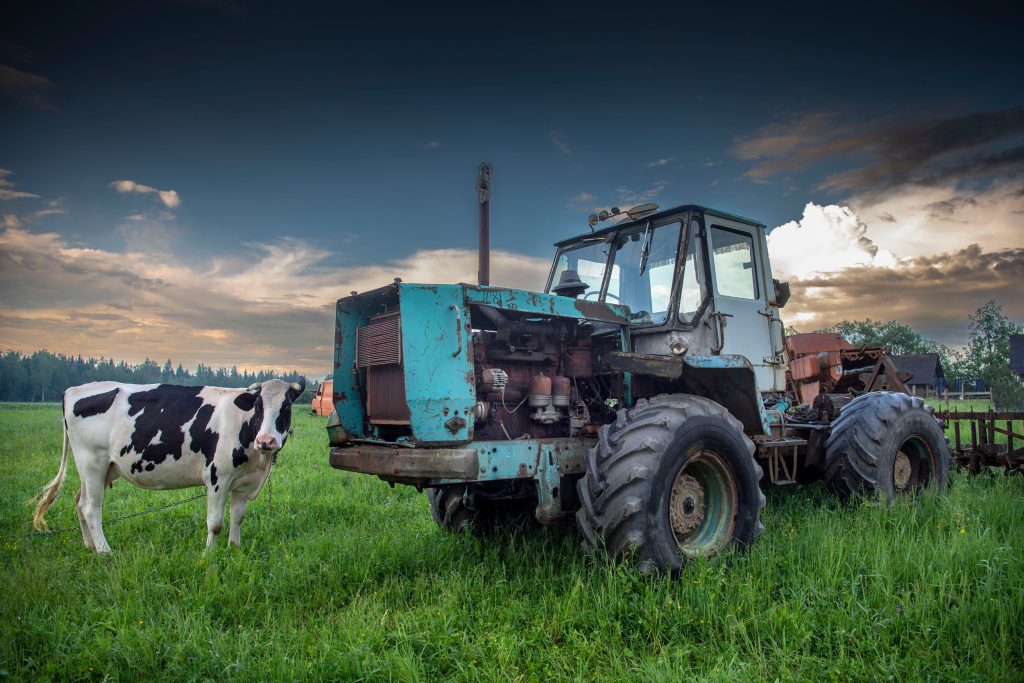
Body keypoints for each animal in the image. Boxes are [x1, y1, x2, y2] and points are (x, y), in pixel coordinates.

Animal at [33, 376, 303, 552]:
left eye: (286, 407)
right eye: (258, 406)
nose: (266, 441)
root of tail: (73, 390)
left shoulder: (243, 482)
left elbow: (237, 517)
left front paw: (234, 550)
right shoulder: (218, 477)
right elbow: (215, 523)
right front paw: (209, 555)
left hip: (102, 469)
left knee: (79, 502)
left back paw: (89, 546)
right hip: (92, 463)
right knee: (91, 508)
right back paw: (104, 551)